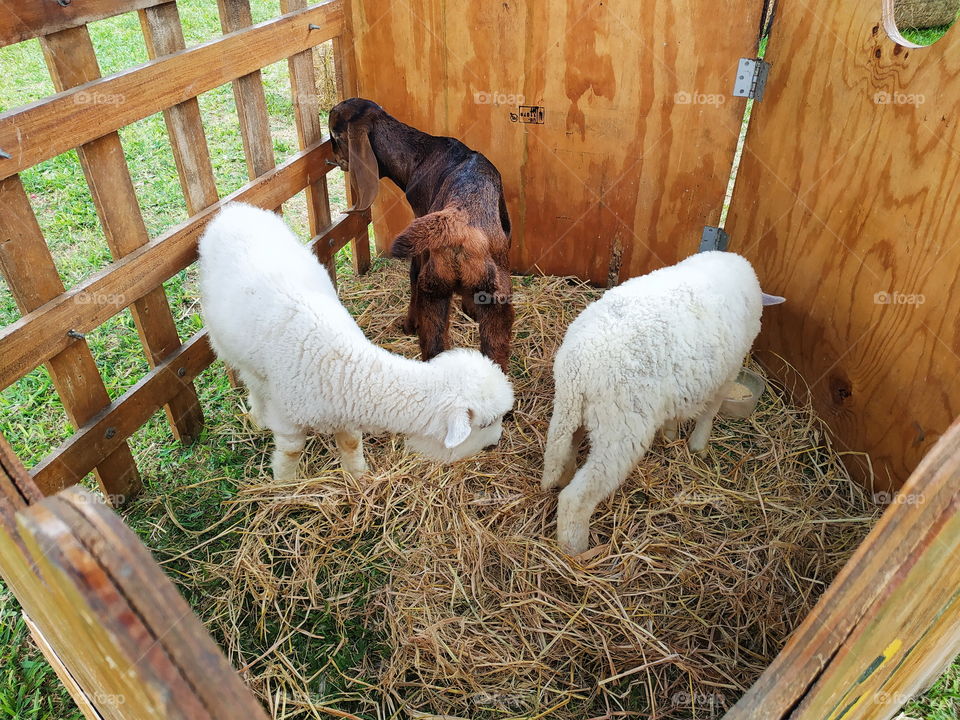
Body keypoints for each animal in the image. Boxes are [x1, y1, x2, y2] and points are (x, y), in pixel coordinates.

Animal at [198, 203, 514, 481]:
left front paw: (357, 477)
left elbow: (350, 444)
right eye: (486, 423)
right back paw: (258, 416)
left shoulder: (346, 414)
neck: (344, 367)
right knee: (249, 379)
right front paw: (285, 485)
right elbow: (291, 452)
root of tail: (234, 209)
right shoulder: (289, 421)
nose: (496, 443)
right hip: (221, 337)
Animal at [327, 97, 514, 372]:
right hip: (481, 299)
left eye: (334, 134)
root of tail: (458, 220)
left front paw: (409, 325)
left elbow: (412, 275)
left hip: (439, 289)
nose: (333, 160)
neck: (418, 155)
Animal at [540, 251, 785, 555]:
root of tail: (579, 367)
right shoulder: (726, 375)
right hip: (620, 429)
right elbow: (709, 413)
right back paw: (577, 551)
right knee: (577, 498)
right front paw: (698, 447)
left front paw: (670, 436)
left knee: (563, 455)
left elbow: (674, 415)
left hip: (569, 411)